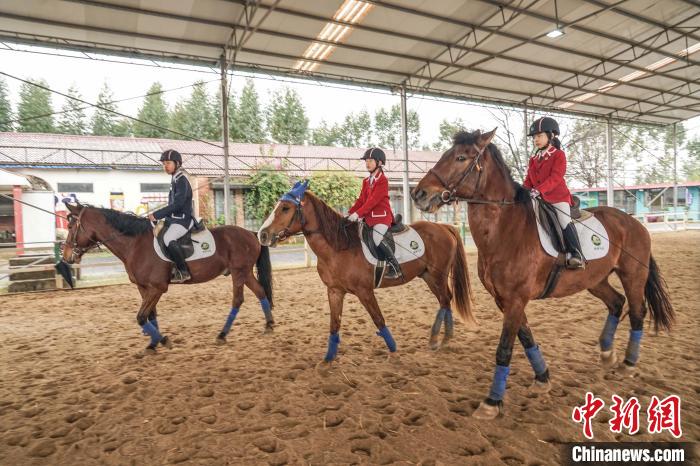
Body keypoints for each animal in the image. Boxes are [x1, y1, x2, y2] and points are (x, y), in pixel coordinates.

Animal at [60, 202, 274, 352]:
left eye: (71, 227)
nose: (67, 256)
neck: (135, 245)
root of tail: (251, 234)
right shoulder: (144, 287)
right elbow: (150, 316)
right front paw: (152, 344)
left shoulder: (157, 287)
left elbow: (141, 317)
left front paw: (163, 340)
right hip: (245, 273)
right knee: (260, 291)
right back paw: (269, 325)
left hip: (239, 272)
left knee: (238, 299)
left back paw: (222, 335)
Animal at [258, 180, 476, 362]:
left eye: (286, 208)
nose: (263, 234)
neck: (340, 246)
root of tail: (444, 227)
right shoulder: (334, 291)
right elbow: (334, 324)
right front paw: (328, 360)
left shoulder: (365, 292)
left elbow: (378, 320)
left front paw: (394, 351)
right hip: (428, 276)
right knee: (445, 300)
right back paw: (439, 338)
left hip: (437, 276)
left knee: (445, 299)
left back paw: (441, 338)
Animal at [410, 129, 672, 420]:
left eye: (460, 158)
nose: (419, 194)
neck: (504, 229)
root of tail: (634, 222)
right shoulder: (505, 300)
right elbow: (526, 338)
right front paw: (543, 378)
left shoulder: (515, 299)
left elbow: (504, 348)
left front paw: (492, 402)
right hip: (595, 280)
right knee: (616, 303)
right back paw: (606, 354)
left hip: (632, 275)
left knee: (637, 311)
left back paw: (628, 363)